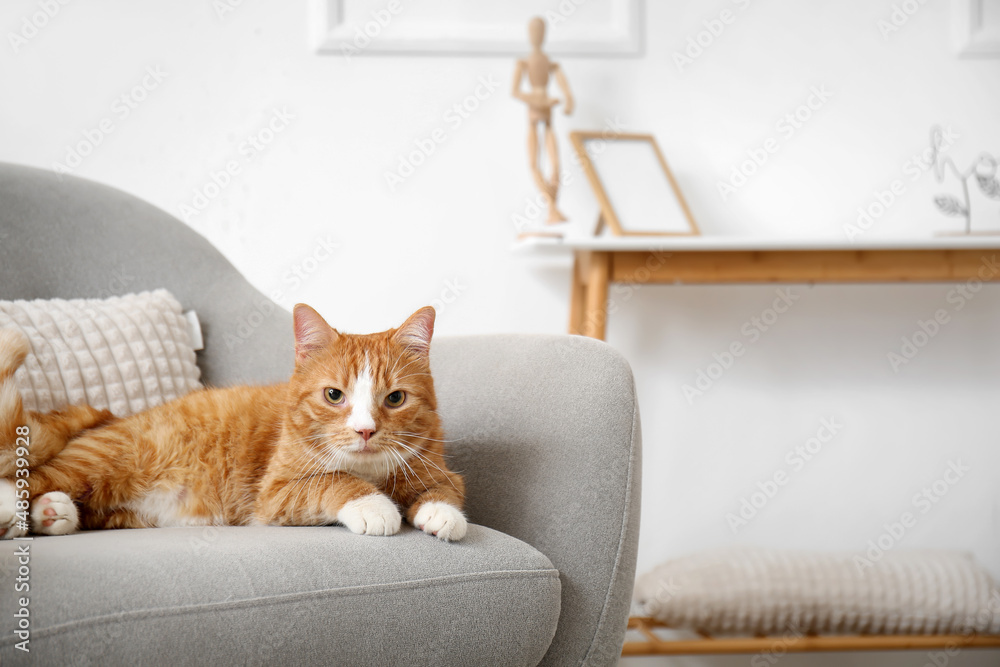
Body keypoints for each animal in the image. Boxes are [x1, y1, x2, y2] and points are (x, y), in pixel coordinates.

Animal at [0, 306, 466, 540]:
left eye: (395, 398)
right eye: (334, 396)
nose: (365, 431)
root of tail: (111, 414)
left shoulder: (437, 470)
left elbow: (446, 488)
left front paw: (441, 513)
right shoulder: (275, 493)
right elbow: (334, 481)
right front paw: (373, 504)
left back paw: (51, 514)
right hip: (101, 462)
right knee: (30, 476)